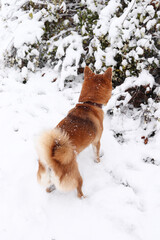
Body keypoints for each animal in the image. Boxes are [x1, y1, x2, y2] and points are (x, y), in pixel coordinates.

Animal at [35, 66, 112, 198]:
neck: (89, 103)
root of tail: (51, 162)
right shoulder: (96, 142)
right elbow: (96, 155)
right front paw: (98, 161)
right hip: (77, 176)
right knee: (79, 192)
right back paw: (85, 198)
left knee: (49, 188)